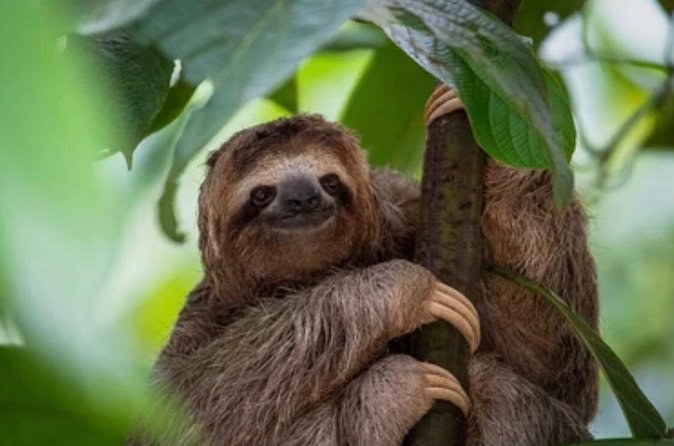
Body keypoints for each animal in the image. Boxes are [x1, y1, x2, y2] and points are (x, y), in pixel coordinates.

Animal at [129, 86, 598, 446]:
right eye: (261, 194)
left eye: (330, 181)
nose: (303, 197)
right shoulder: (202, 315)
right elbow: (184, 410)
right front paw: (403, 296)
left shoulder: (407, 210)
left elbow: (555, 360)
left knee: (497, 385)